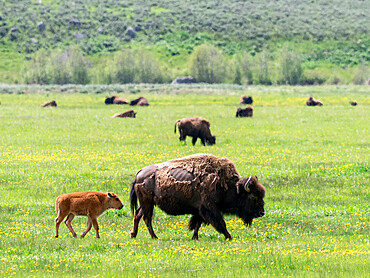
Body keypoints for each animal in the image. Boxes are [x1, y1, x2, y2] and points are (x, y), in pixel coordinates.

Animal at [130, 153, 266, 240]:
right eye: (253, 197)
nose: (261, 212)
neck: (226, 184)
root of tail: (139, 173)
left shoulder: (200, 209)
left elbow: (198, 223)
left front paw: (194, 237)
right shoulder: (210, 207)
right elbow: (220, 222)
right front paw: (229, 237)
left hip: (147, 203)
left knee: (138, 214)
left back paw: (133, 234)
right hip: (147, 202)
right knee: (147, 218)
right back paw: (154, 237)